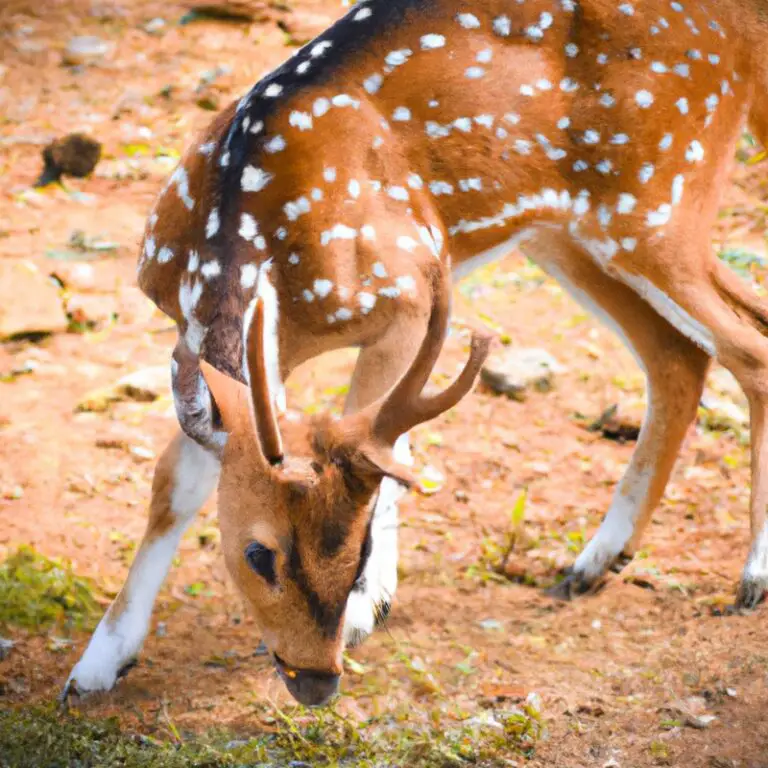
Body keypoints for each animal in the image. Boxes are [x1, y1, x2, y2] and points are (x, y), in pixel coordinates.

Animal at [61, 0, 768, 708]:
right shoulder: (226, 350)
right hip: (567, 231)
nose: (317, 680)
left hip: (660, 200)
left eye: (358, 548)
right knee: (679, 354)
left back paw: (751, 576)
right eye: (259, 553)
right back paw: (595, 562)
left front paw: (368, 608)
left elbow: (383, 446)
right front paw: (97, 664)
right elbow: (173, 483)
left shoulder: (405, 301)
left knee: (749, 345)